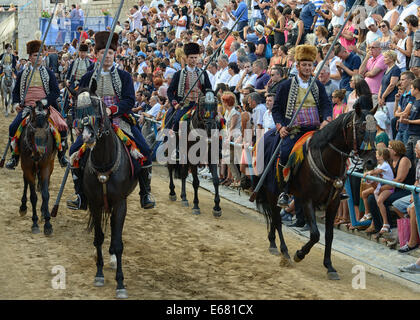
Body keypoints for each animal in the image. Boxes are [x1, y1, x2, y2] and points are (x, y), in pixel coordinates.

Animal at [18, 99, 57, 235]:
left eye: (47, 133)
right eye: (31, 133)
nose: (38, 154)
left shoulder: (45, 167)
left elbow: (45, 194)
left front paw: (48, 223)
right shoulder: (28, 168)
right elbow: (33, 196)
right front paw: (34, 223)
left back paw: (43, 211)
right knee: (26, 183)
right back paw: (23, 207)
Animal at [73, 84, 137, 298]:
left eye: (95, 105)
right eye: (77, 108)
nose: (87, 137)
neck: (103, 163)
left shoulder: (120, 203)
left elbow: (117, 243)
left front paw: (120, 284)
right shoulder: (94, 202)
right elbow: (98, 237)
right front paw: (99, 274)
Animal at [163, 90, 223, 218]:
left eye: (216, 105)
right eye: (202, 105)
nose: (210, 127)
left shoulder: (212, 157)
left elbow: (216, 180)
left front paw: (217, 207)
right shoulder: (193, 158)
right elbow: (196, 182)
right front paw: (196, 205)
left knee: (183, 173)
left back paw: (184, 197)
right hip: (171, 150)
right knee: (171, 168)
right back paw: (172, 192)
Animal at [253, 105, 378, 280]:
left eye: (375, 131)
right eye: (361, 130)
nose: (372, 162)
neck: (327, 160)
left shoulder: (333, 203)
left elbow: (329, 235)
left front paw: (330, 266)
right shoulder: (308, 201)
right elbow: (315, 234)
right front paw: (299, 254)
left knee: (274, 217)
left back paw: (272, 243)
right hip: (272, 191)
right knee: (276, 219)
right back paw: (284, 250)